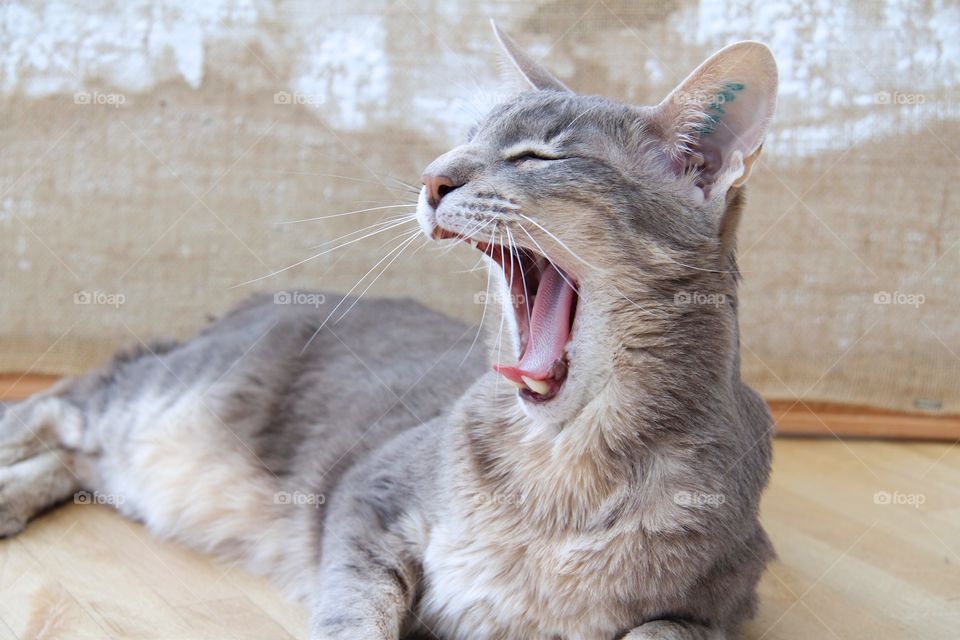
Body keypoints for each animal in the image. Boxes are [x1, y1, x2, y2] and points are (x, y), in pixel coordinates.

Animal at [0, 25, 780, 640]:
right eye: (466, 139)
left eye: (537, 156)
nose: (431, 178)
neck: (561, 466)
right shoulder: (366, 497)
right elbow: (356, 611)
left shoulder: (716, 608)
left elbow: (656, 629)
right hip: (169, 399)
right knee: (61, 403)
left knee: (84, 458)